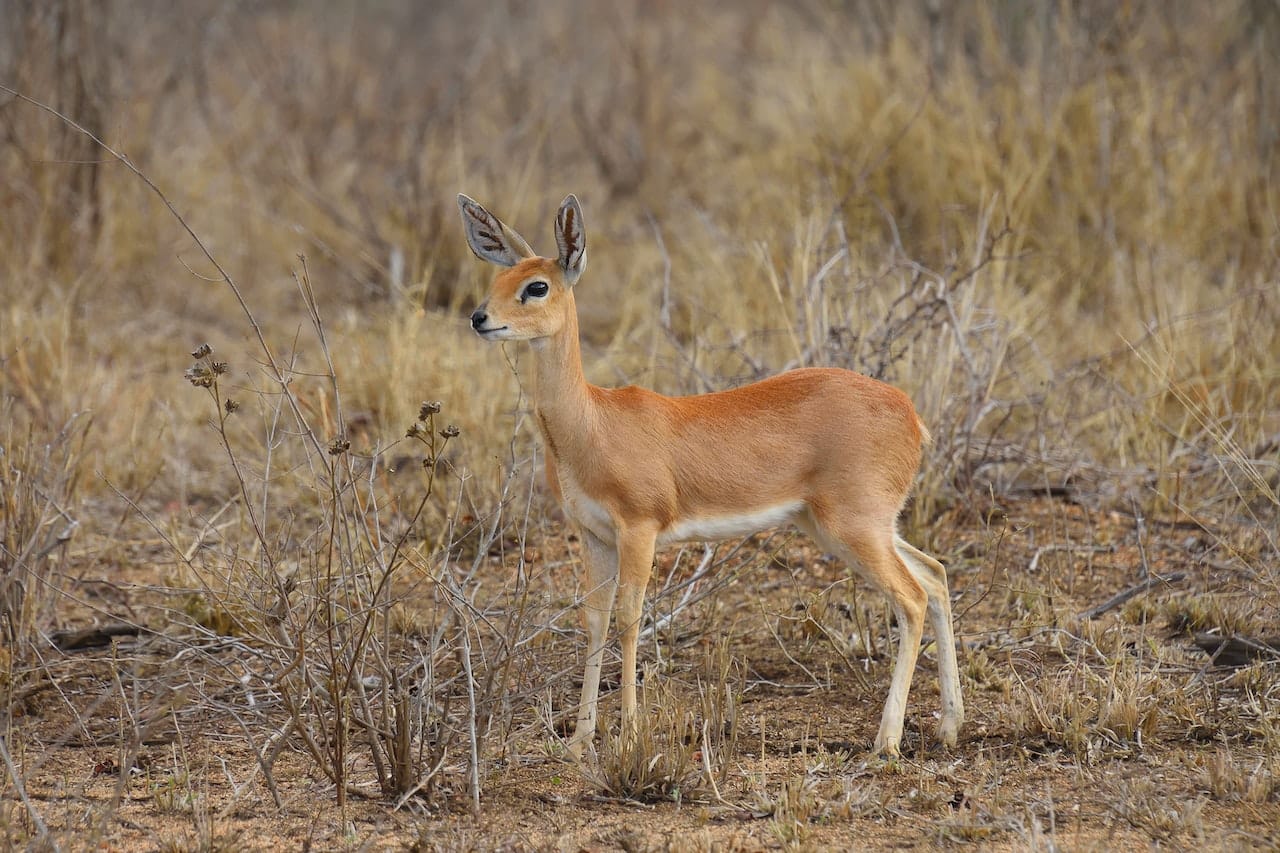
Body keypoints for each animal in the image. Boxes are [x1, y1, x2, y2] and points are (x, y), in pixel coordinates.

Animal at [458, 192, 962, 758]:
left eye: (537, 286)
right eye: (499, 277)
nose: (480, 318)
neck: (592, 421)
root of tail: (910, 413)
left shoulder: (639, 530)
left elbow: (631, 619)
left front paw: (630, 732)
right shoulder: (593, 535)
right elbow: (595, 619)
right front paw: (581, 740)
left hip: (855, 527)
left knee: (912, 599)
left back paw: (887, 741)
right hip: (847, 525)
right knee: (936, 576)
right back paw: (949, 726)